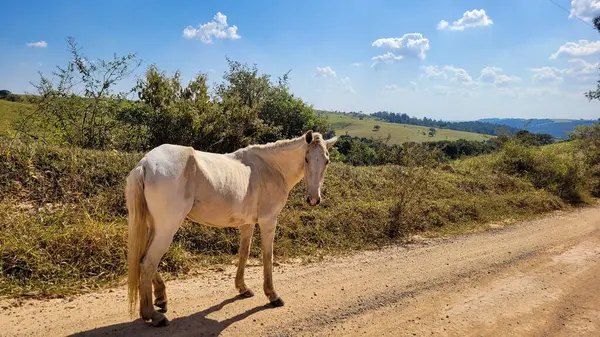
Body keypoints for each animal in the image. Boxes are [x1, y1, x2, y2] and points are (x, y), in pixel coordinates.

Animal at [125, 131, 338, 326]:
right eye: (307, 159)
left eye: (327, 161)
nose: (313, 199)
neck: (270, 168)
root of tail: (145, 163)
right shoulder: (268, 220)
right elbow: (267, 257)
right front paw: (272, 295)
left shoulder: (247, 223)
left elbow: (244, 253)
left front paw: (242, 288)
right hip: (167, 228)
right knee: (147, 263)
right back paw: (153, 315)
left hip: (155, 226)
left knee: (142, 258)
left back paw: (161, 298)